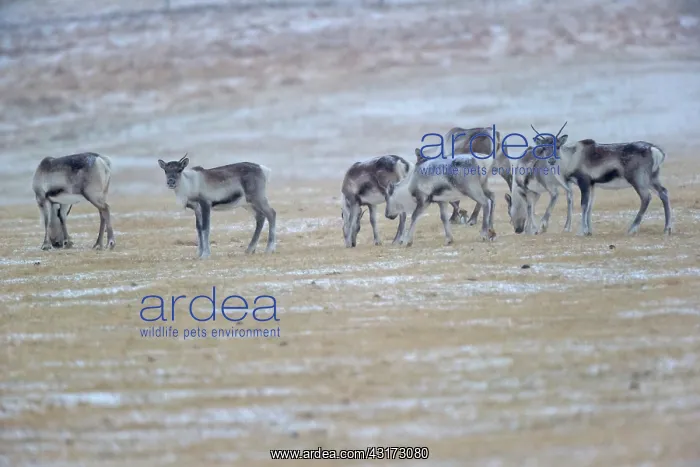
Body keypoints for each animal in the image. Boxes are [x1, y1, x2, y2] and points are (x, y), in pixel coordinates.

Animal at [537, 122, 672, 236]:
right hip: (652, 179)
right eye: (543, 148)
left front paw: (581, 231)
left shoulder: (584, 182)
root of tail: (653, 149)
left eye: (558, 146)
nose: (551, 160)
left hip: (638, 180)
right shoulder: (592, 184)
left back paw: (631, 229)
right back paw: (667, 229)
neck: (572, 157)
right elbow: (590, 206)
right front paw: (589, 231)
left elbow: (584, 204)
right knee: (663, 193)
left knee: (646, 197)